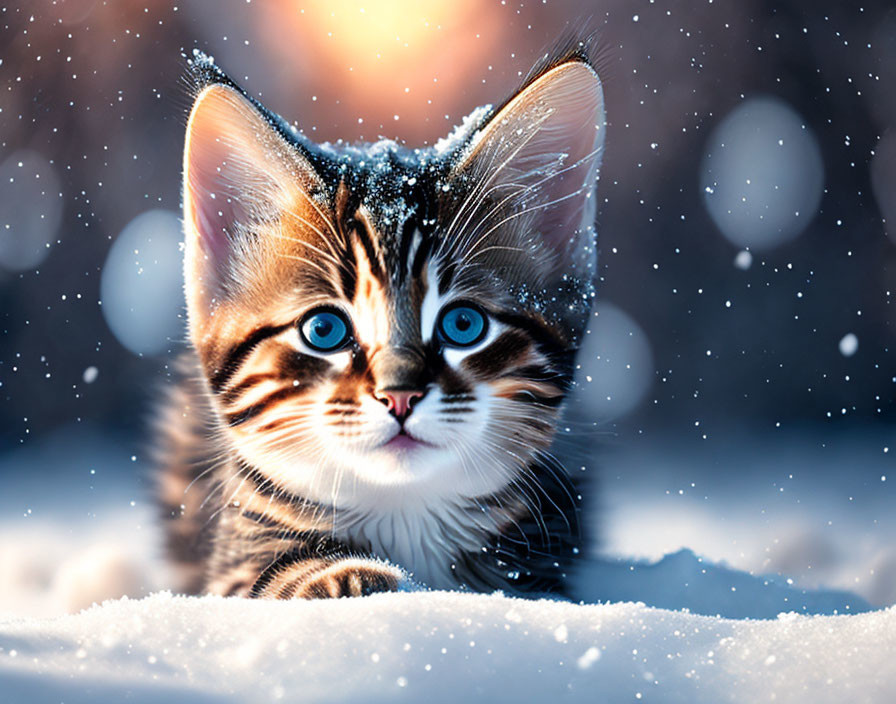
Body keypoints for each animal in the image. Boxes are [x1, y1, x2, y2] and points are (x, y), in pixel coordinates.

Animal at [159, 41, 608, 596]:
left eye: (463, 325)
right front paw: (349, 578)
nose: (400, 395)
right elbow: (272, 584)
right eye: (324, 330)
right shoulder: (234, 559)